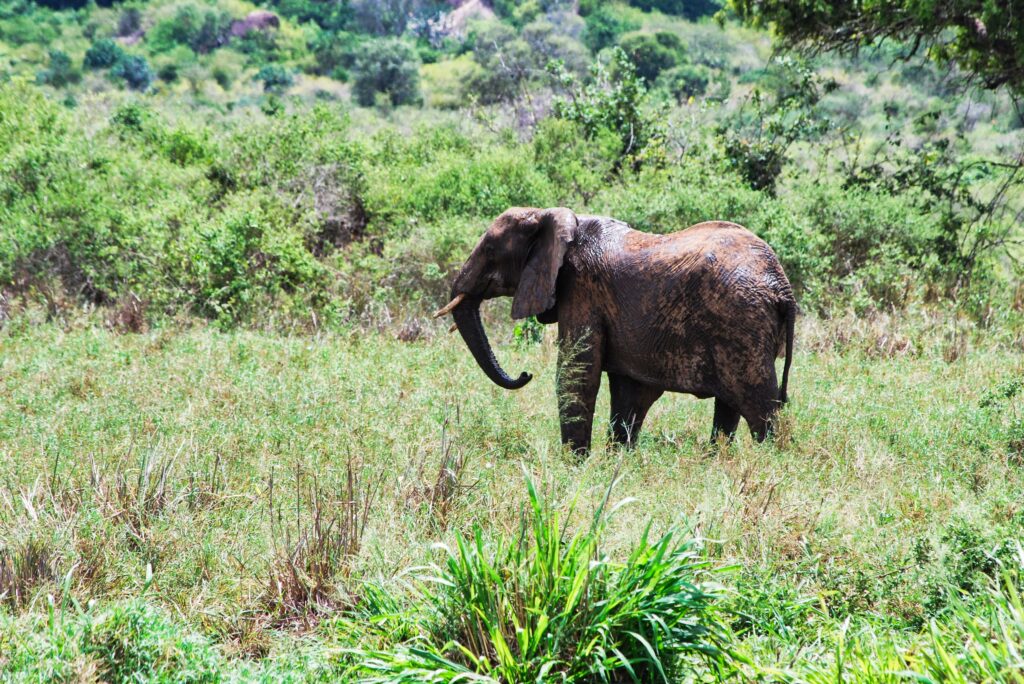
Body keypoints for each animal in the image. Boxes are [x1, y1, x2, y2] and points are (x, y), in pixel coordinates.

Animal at [434, 208, 798, 454]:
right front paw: (615, 463)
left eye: (490, 250)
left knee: (759, 406)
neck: (552, 216)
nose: (525, 373)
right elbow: (629, 393)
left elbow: (577, 374)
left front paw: (575, 466)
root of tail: (781, 285)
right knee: (731, 407)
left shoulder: (581, 289)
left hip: (740, 323)